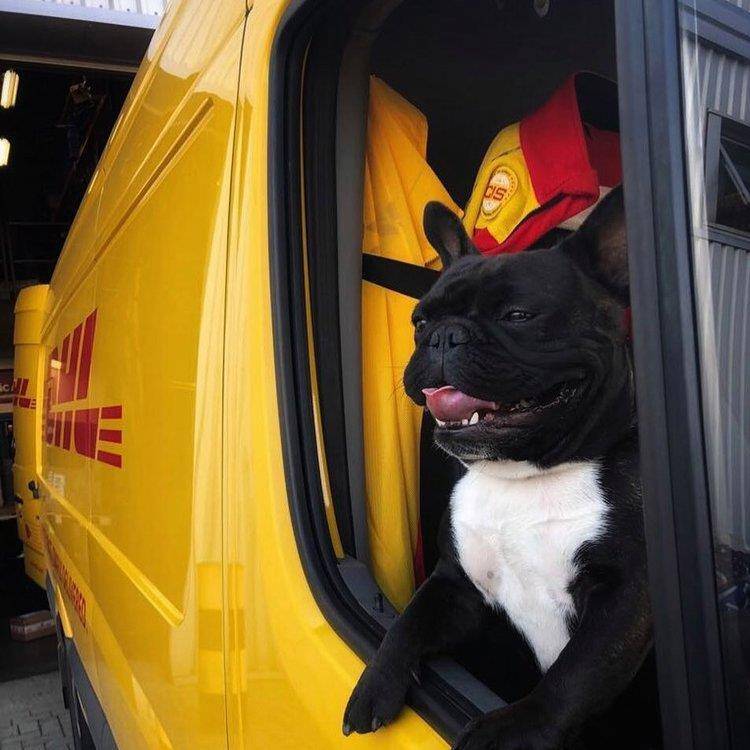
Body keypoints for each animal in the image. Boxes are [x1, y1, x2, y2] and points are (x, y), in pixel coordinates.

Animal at [343, 188, 658, 749]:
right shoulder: (457, 585)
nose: (445, 336)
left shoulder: (624, 601)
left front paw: (509, 731)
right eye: (420, 321)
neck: (524, 477)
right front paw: (373, 684)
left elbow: (574, 677)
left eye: (517, 314)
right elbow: (407, 624)